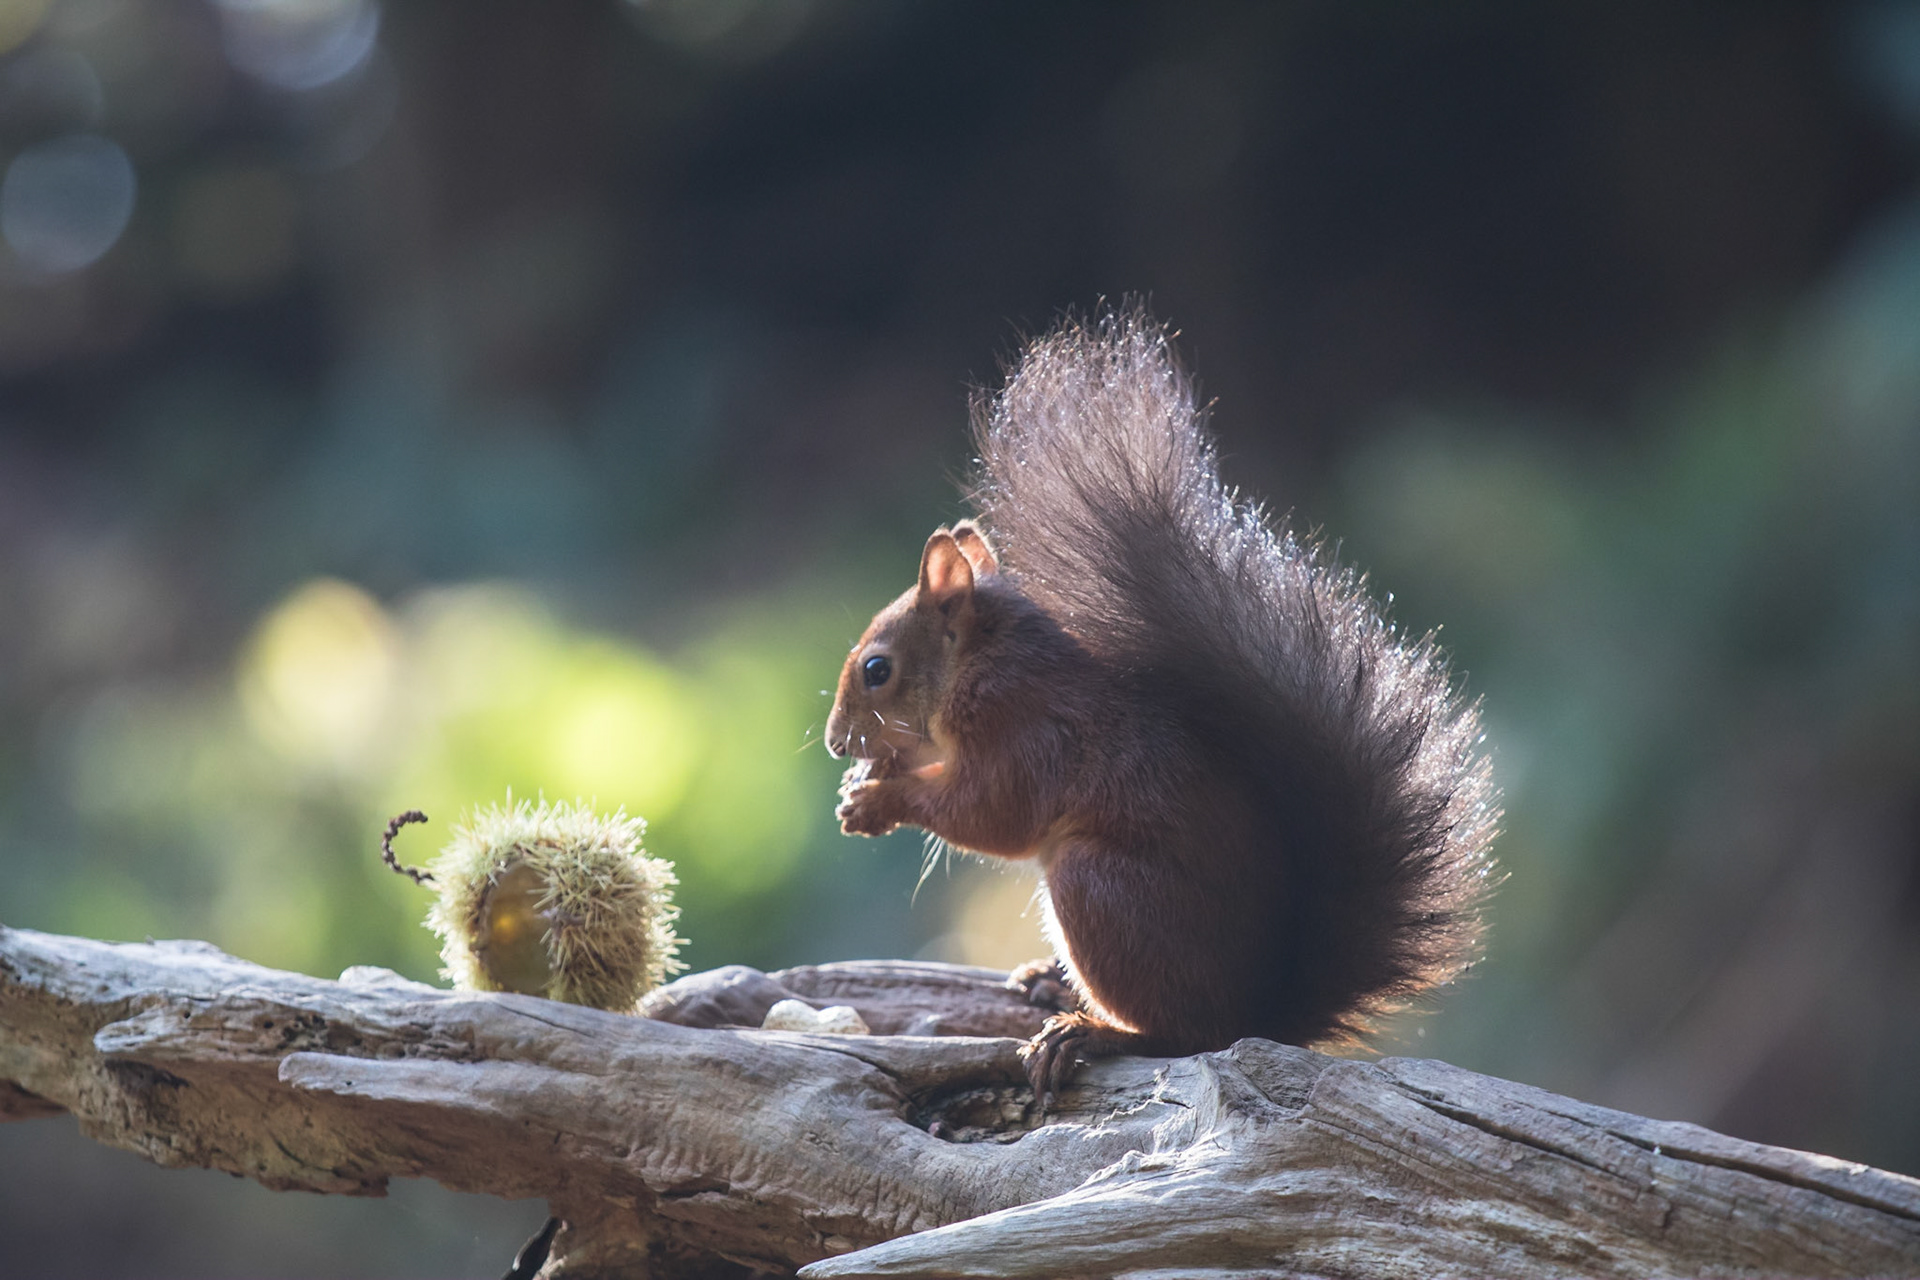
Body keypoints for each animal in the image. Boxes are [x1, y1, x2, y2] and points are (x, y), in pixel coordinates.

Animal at [825, 307, 1499, 1104]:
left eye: (876, 669)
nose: (835, 743)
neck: (981, 667)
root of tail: (1258, 1013)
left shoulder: (1027, 730)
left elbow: (992, 815)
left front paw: (878, 800)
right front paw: (865, 781)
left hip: (1100, 889)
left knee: (1180, 1036)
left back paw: (1090, 1030)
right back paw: (1049, 982)